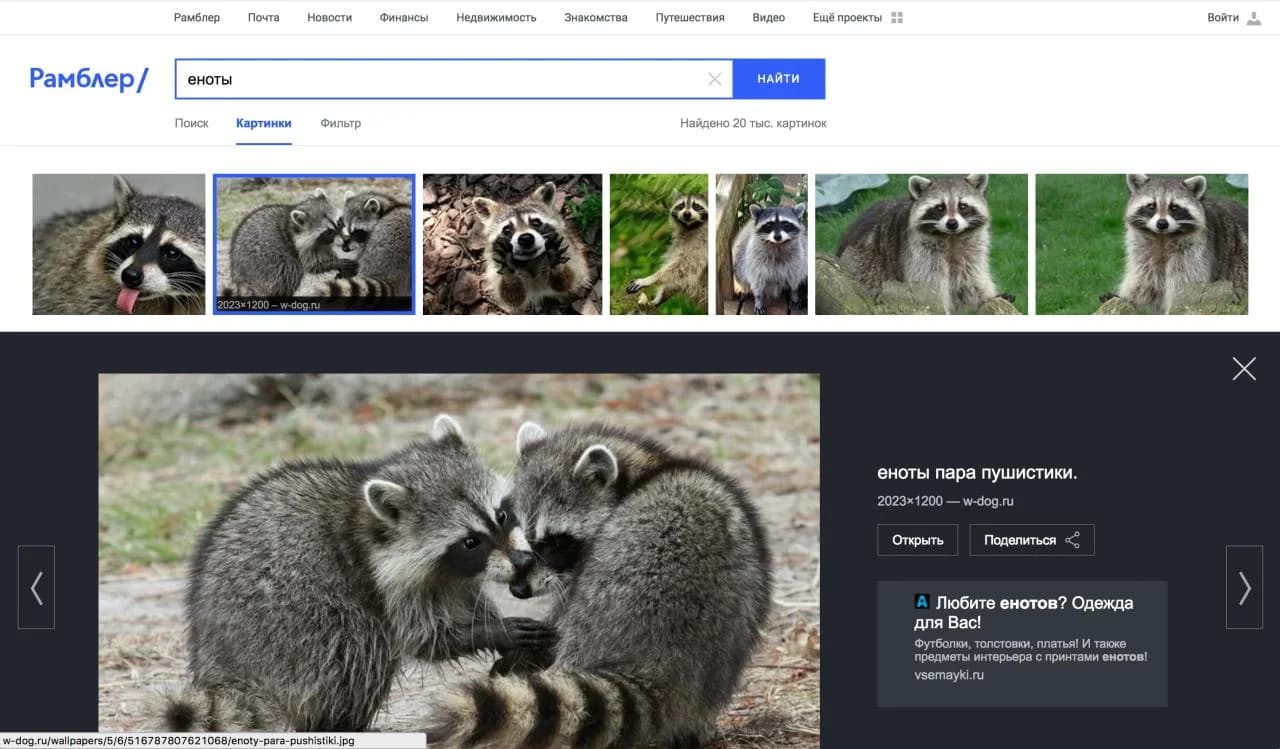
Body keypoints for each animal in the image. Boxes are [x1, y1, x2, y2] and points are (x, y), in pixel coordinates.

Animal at [164, 415, 555, 732]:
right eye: (470, 541)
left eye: (501, 515)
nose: (523, 561)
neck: (371, 522)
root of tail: (224, 669)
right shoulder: (384, 580)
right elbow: (424, 638)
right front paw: (493, 631)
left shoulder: (447, 575)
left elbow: (466, 598)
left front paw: (497, 629)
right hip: (295, 633)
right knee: (362, 643)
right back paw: (343, 722)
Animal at [475, 182, 591, 313]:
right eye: (507, 229)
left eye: (536, 222)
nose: (526, 239)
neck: (531, 260)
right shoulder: (495, 267)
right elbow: (513, 297)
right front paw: (509, 272)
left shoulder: (567, 249)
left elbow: (565, 282)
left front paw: (557, 263)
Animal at [836, 174, 999, 314]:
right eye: (940, 208)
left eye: (962, 206)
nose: (952, 223)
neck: (951, 237)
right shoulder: (920, 252)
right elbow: (929, 284)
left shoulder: (971, 248)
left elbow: (971, 279)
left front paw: (987, 297)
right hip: (864, 262)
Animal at [1117, 174, 1248, 313]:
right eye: (1152, 206)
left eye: (1174, 208)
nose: (1162, 223)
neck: (1162, 237)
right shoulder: (1142, 251)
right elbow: (1144, 280)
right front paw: (1130, 300)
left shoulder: (1193, 253)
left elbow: (1184, 284)